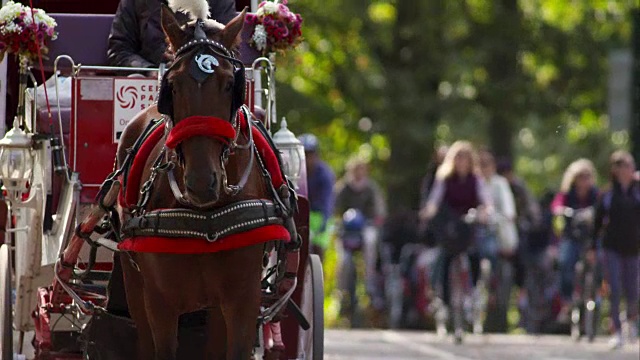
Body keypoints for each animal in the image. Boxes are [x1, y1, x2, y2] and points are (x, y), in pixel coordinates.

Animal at [115, 5, 270, 360]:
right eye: (172, 85)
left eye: (230, 84)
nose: (201, 182)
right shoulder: (159, 303)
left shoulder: (243, 300)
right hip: (134, 284)